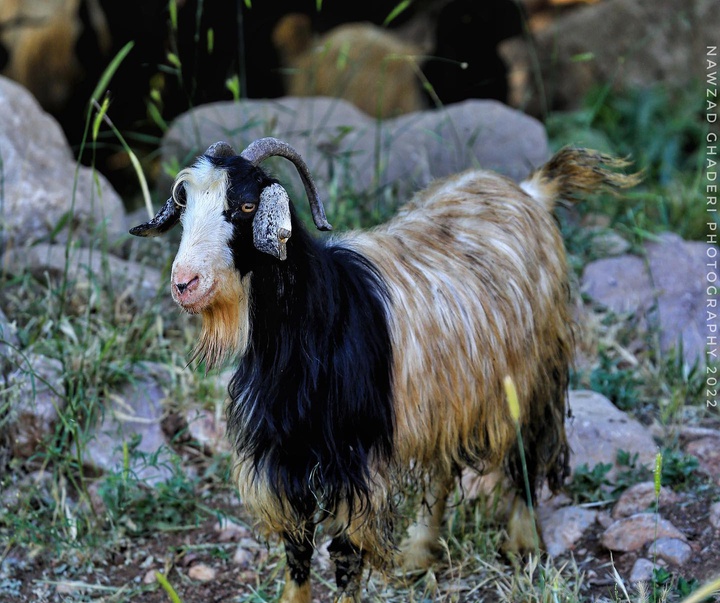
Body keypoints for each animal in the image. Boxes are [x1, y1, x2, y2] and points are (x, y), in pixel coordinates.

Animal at [132, 138, 640, 603]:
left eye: (246, 205)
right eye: (184, 204)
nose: (185, 283)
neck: (319, 322)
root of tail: (531, 190)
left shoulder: (355, 463)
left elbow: (346, 555)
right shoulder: (283, 458)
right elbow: (298, 548)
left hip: (532, 372)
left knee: (527, 450)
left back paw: (522, 545)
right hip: (447, 394)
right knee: (443, 468)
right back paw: (418, 553)